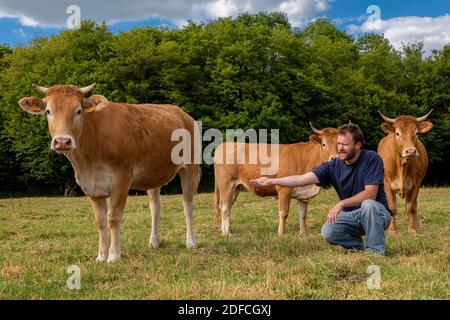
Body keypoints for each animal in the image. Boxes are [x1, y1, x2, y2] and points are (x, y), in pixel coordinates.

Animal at [18, 84, 199, 262]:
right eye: (48, 111)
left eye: (78, 111)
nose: (62, 141)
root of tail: (184, 114)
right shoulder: (91, 187)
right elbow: (100, 221)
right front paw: (101, 255)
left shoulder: (121, 180)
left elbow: (113, 218)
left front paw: (113, 255)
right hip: (153, 174)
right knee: (155, 206)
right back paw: (154, 242)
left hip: (190, 167)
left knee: (187, 205)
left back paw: (191, 242)